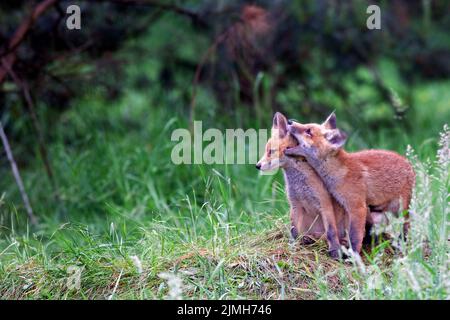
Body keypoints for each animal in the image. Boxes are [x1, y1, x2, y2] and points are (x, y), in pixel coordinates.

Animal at [284, 114, 414, 254]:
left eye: (308, 131)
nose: (290, 121)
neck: (340, 172)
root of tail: (408, 163)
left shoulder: (357, 207)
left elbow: (355, 236)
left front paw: (354, 255)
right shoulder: (347, 206)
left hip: (400, 209)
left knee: (405, 227)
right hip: (377, 212)